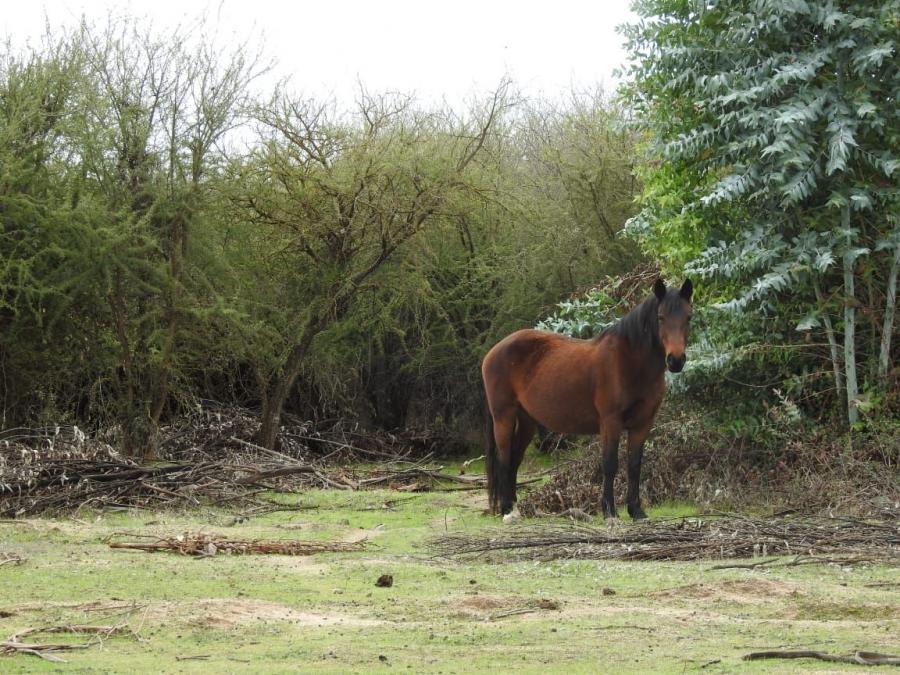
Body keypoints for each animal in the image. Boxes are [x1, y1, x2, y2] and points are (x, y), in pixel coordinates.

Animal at [482, 278, 692, 520]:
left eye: (689, 317)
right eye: (660, 317)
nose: (676, 360)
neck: (628, 361)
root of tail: (494, 351)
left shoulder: (643, 423)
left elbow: (634, 465)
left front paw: (636, 510)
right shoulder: (610, 421)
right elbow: (610, 464)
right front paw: (609, 511)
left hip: (527, 421)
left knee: (515, 459)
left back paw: (515, 507)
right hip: (503, 416)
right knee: (504, 459)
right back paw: (507, 509)